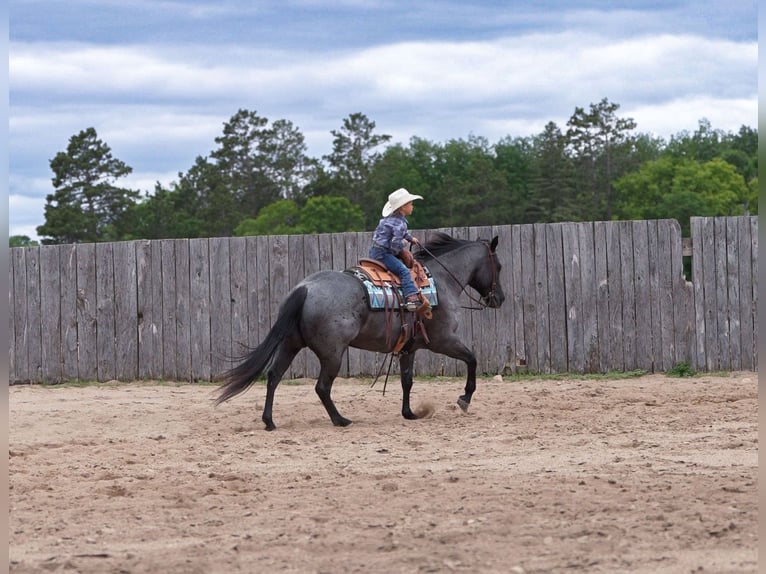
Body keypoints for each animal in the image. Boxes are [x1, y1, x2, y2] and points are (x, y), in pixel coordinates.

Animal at [215, 231, 505, 430]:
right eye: (499, 266)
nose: (499, 299)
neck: (439, 282)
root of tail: (305, 288)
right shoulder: (443, 340)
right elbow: (472, 359)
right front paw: (464, 398)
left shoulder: (408, 348)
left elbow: (407, 381)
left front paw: (409, 413)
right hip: (332, 353)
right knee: (322, 387)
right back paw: (340, 419)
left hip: (290, 344)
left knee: (274, 376)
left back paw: (269, 421)